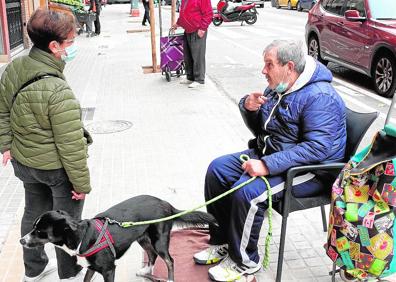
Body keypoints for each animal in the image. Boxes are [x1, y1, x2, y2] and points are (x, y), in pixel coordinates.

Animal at [19, 195, 217, 282]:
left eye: (40, 231)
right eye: (34, 227)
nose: (21, 240)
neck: (82, 237)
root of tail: (166, 203)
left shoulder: (108, 270)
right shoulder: (91, 268)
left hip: (159, 240)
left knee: (169, 260)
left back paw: (169, 279)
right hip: (143, 238)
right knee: (151, 255)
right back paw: (146, 271)